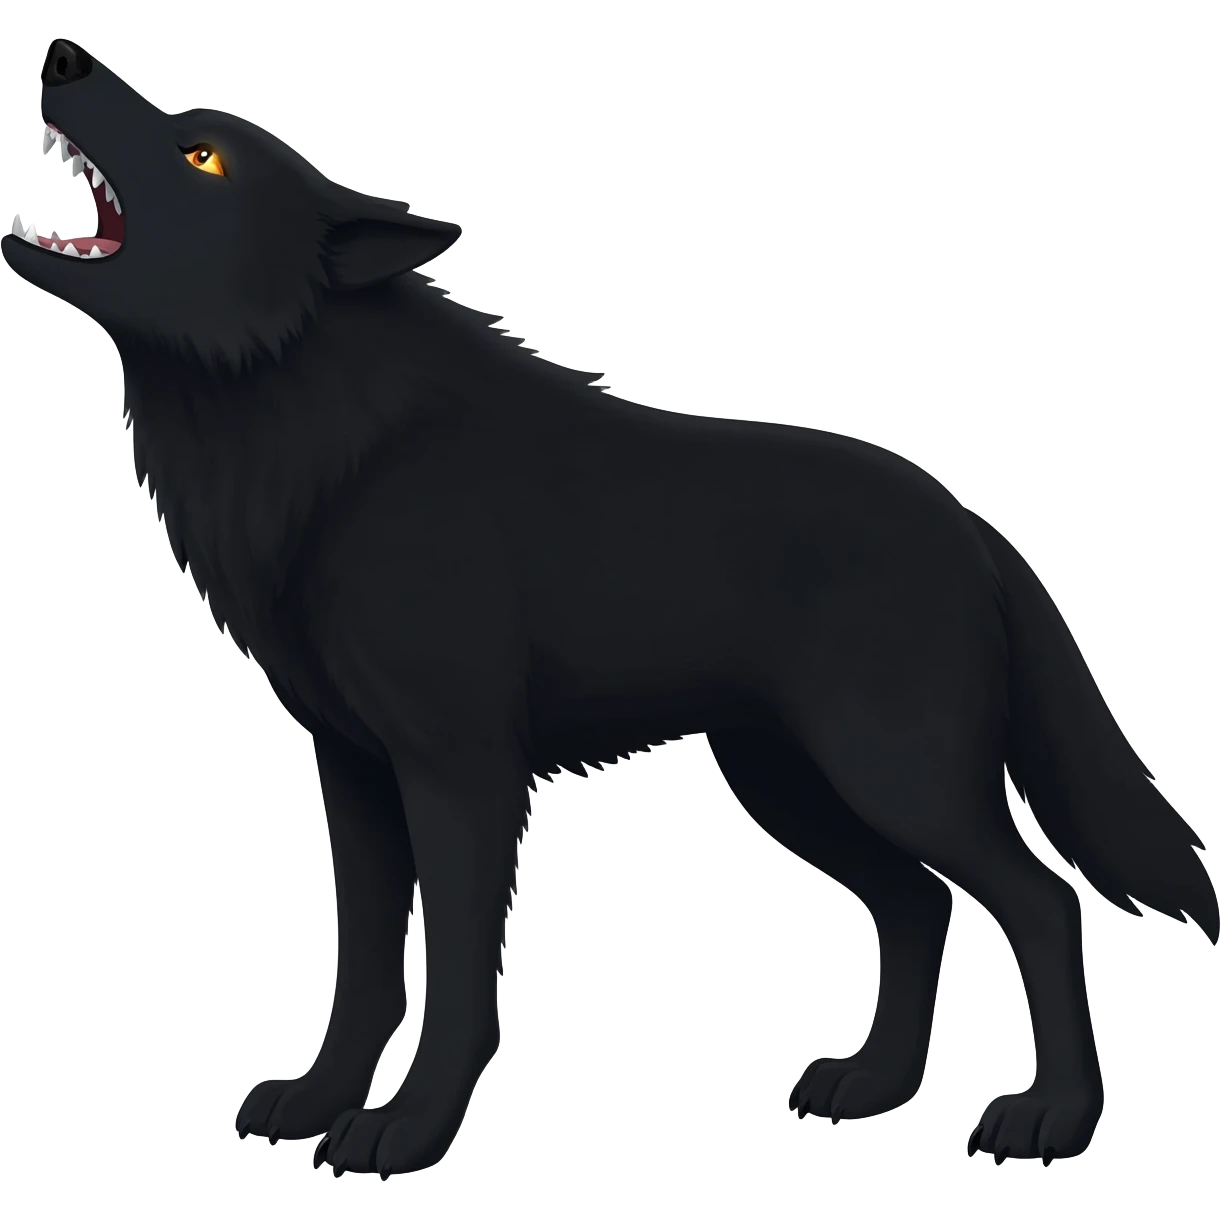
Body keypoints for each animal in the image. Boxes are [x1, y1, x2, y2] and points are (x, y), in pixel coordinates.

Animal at [4, 39, 1216, 1178]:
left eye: (201, 154)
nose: (63, 55)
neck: (313, 439)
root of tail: (978, 530)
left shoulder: (463, 775)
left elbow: (457, 981)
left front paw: (407, 1131)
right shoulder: (351, 775)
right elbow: (363, 974)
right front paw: (316, 1103)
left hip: (894, 778)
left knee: (1040, 903)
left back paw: (1053, 1117)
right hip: (786, 783)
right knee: (920, 906)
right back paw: (872, 1084)